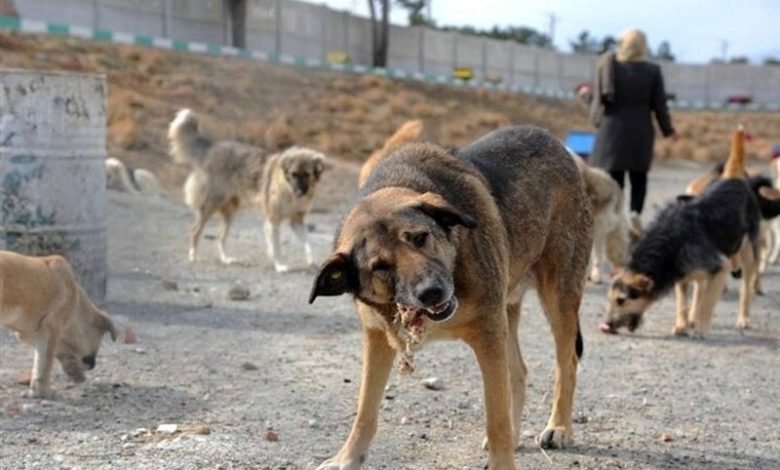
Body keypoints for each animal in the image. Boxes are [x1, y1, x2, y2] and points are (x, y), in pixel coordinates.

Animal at [0, 252, 119, 398]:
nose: (92, 366)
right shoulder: (52, 327)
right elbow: (46, 361)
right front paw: (44, 390)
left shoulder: (30, 332)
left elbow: (44, 358)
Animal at [310, 126, 592, 468]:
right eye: (380, 266)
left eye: (420, 237)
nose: (432, 292)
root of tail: (553, 140)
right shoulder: (377, 337)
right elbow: (365, 409)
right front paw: (347, 457)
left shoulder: (487, 335)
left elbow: (496, 418)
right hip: (507, 311)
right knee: (519, 371)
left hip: (558, 297)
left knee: (567, 363)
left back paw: (559, 427)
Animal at [604, 126, 760, 336]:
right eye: (610, 299)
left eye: (621, 300)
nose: (605, 324)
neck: (671, 239)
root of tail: (732, 179)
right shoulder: (681, 272)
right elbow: (682, 302)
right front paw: (681, 324)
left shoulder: (720, 267)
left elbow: (708, 303)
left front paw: (701, 329)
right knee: (700, 287)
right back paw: (693, 317)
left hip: (748, 253)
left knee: (745, 289)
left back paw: (743, 318)